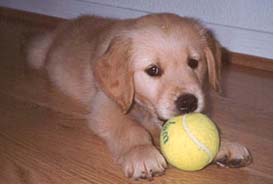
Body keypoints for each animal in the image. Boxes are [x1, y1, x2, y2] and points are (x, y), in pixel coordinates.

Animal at [26, 13, 252, 179]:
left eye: (194, 63)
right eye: (153, 70)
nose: (188, 103)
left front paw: (225, 144)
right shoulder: (105, 106)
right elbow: (130, 129)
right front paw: (142, 152)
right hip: (37, 54)